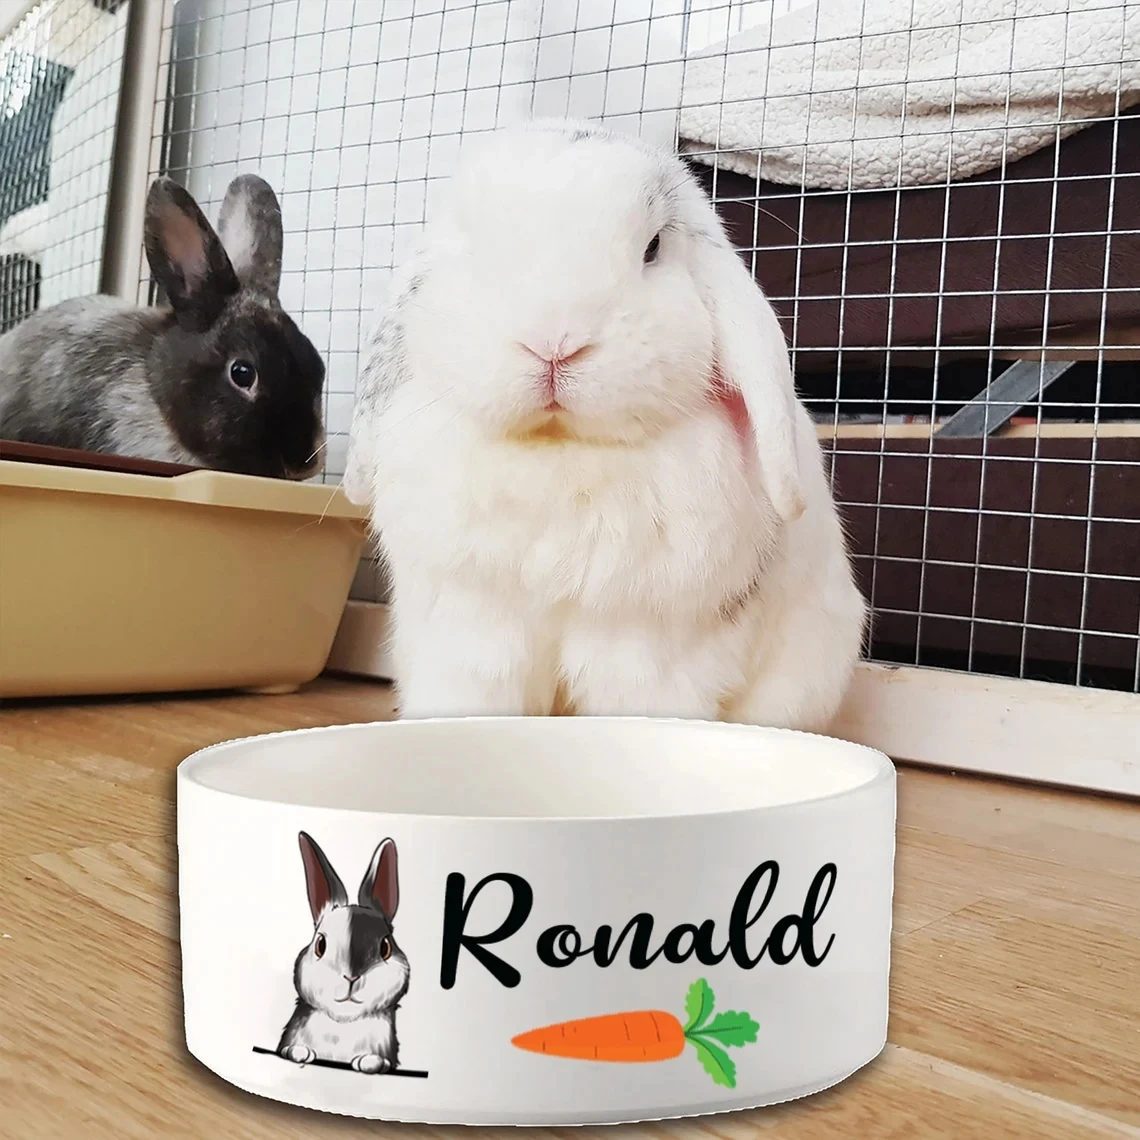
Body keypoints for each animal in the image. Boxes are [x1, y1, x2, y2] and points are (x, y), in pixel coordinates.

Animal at [277, 832, 410, 1074]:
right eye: (320, 945)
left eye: (385, 947)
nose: (352, 977)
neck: (344, 1023)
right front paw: (299, 1052)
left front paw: (370, 1062)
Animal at [345, 119, 867, 733]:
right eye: (472, 245)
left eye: (654, 247)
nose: (552, 342)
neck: (559, 451)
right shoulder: (476, 629)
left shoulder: (646, 646)